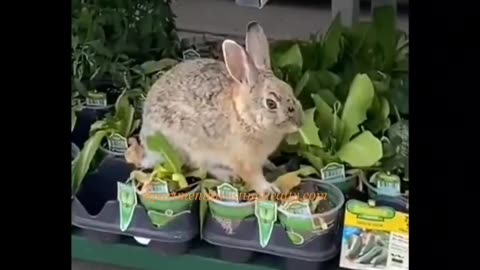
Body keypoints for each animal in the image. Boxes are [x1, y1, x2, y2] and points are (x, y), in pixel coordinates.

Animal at [140, 21, 304, 194]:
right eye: (271, 103)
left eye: (290, 89)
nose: (300, 123)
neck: (245, 117)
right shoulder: (244, 161)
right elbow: (253, 177)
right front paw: (269, 190)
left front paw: (269, 166)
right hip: (188, 147)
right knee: (200, 167)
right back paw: (228, 175)